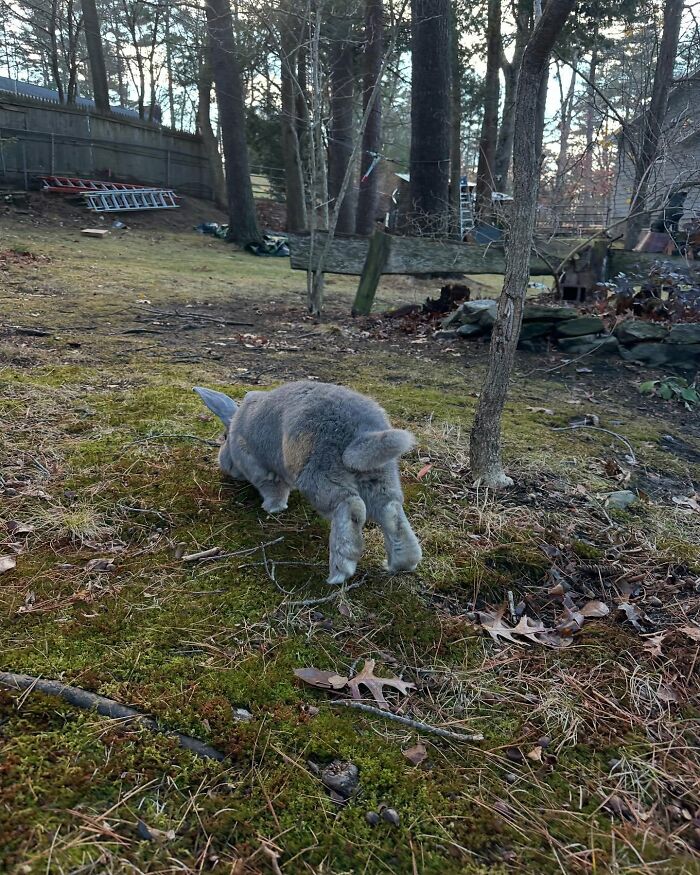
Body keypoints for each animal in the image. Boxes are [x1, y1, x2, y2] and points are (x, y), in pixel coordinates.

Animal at [194, 381, 422, 585]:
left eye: (224, 438)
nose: (222, 463)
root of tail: (362, 433)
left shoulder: (261, 470)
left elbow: (274, 490)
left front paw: (272, 508)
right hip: (379, 474)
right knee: (390, 510)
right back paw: (401, 563)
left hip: (319, 472)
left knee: (351, 505)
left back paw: (340, 571)